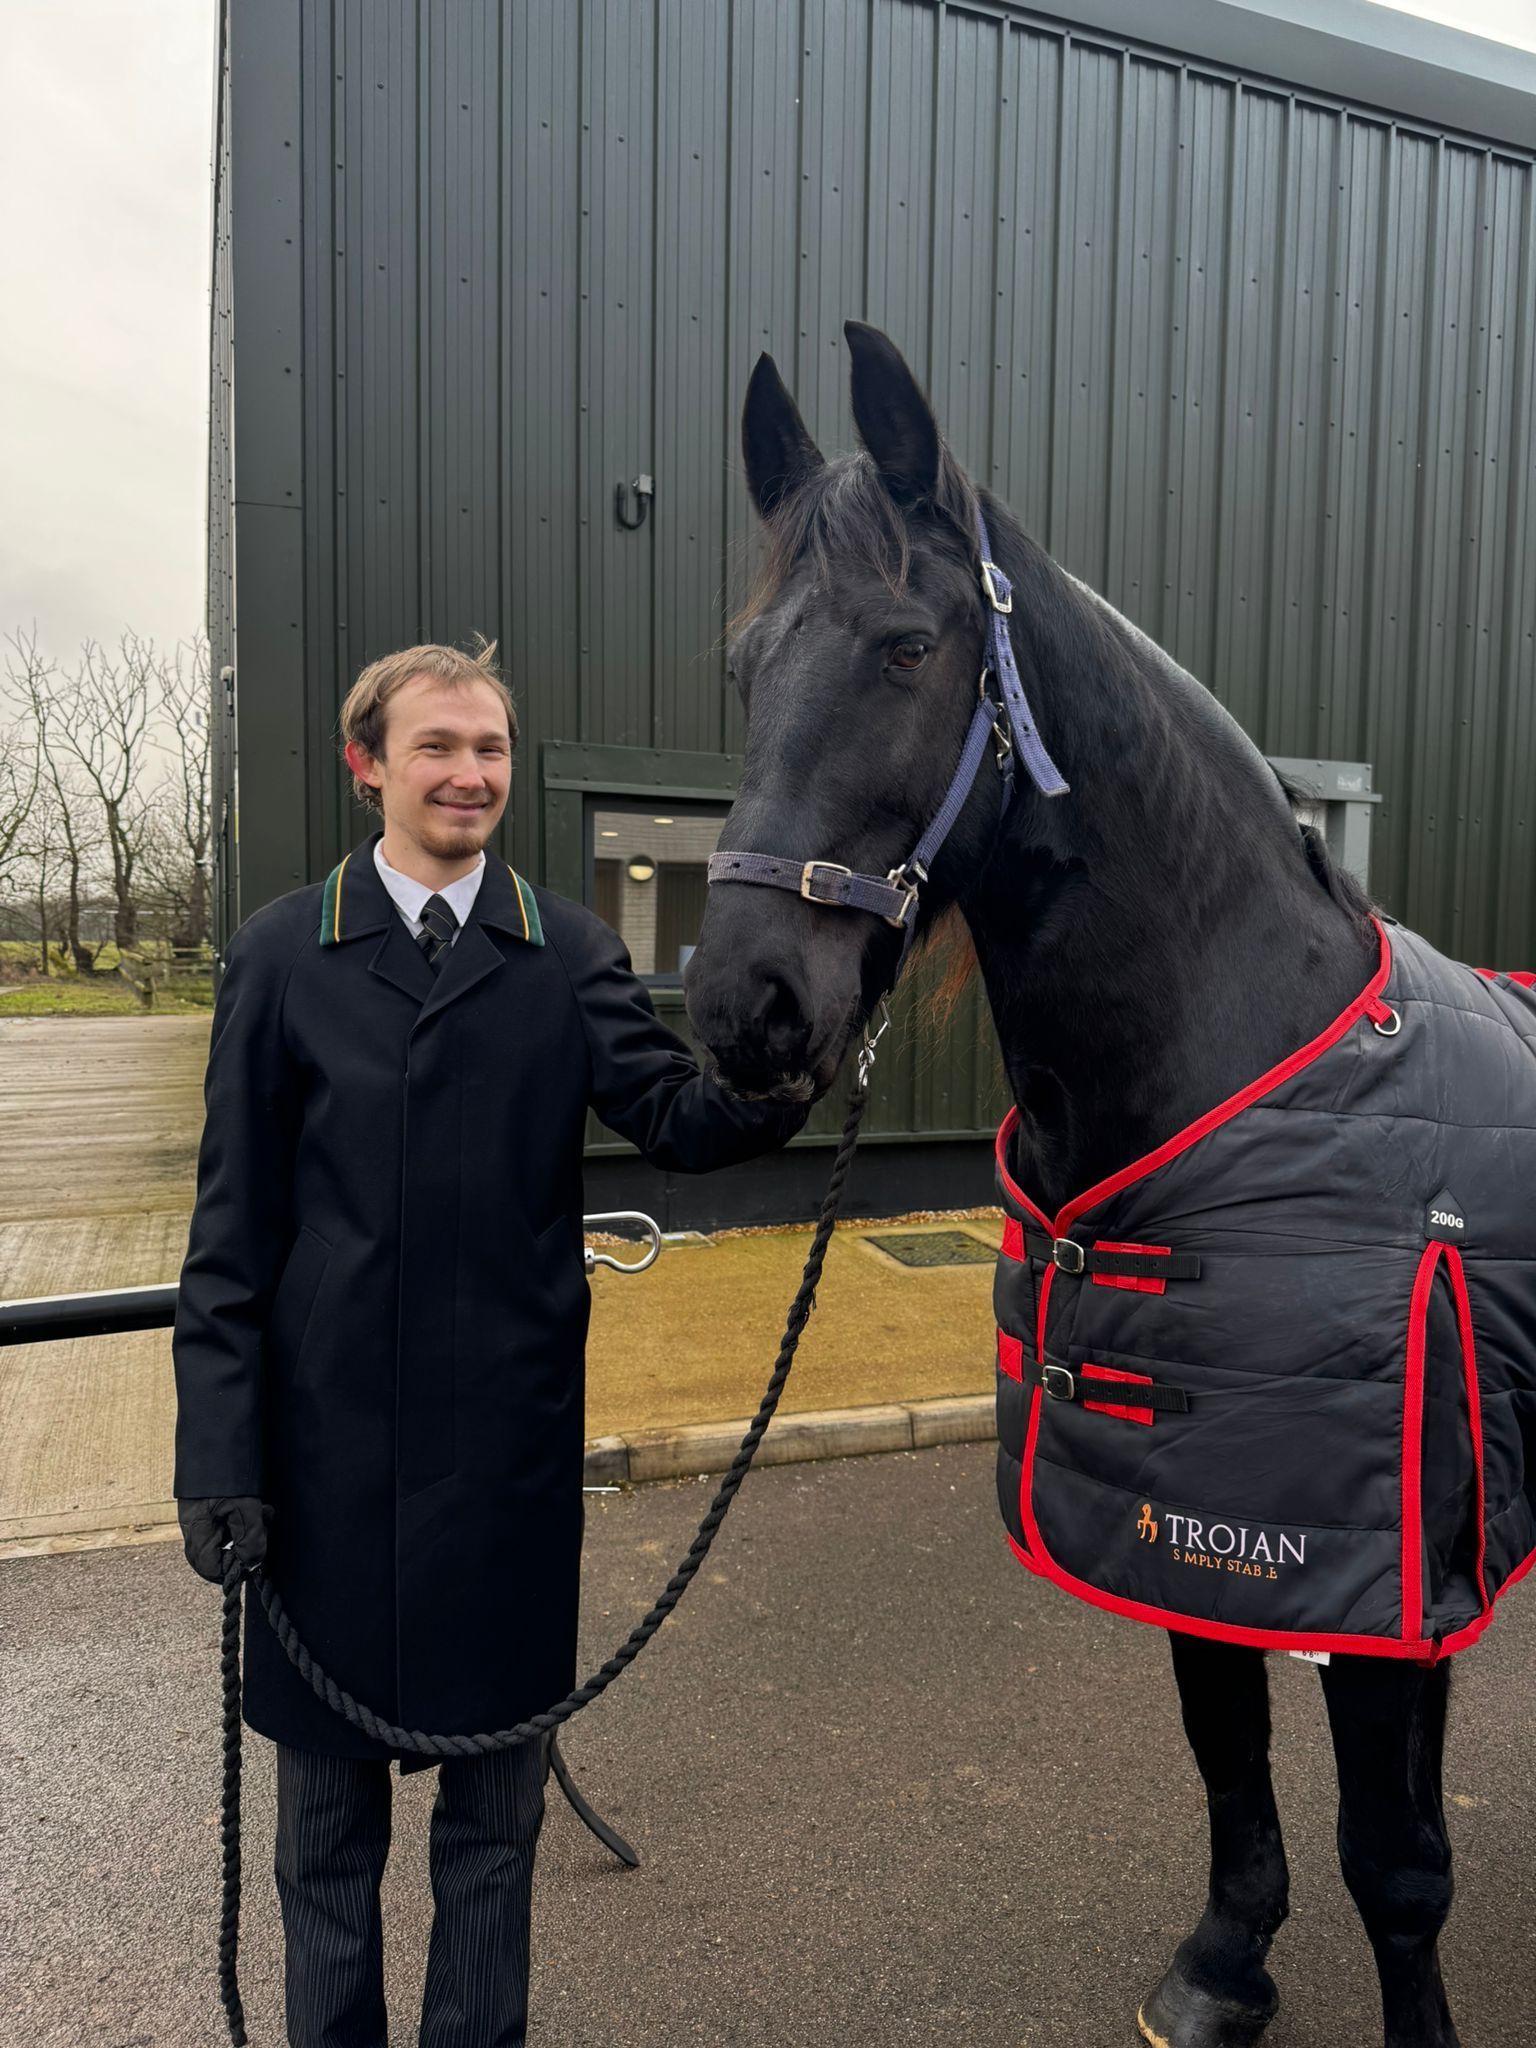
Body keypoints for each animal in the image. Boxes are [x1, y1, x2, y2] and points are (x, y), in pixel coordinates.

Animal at [682, 321, 1529, 2048]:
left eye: (906, 648)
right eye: (745, 672)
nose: (745, 1009)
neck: (1236, 1071)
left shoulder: (1384, 1579)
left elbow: (1400, 1860)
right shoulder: (1186, 1503)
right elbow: (1226, 1751)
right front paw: (1223, 1966)